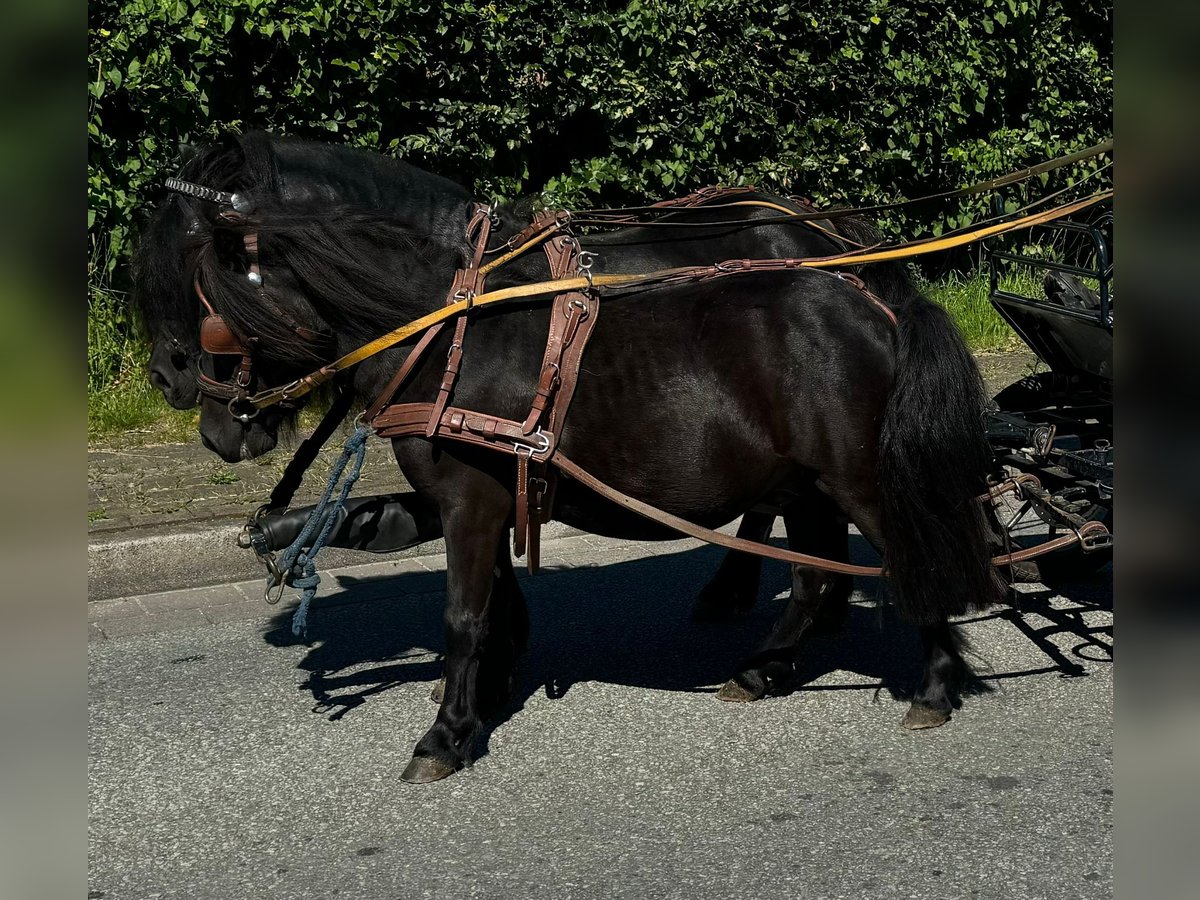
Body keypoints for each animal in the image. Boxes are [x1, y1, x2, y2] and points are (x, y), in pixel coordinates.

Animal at [140, 132, 1008, 782]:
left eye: (203, 291)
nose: (196, 407)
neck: (447, 331)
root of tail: (879, 297)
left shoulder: (472, 496)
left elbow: (462, 613)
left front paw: (446, 734)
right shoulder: (479, 491)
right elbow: (481, 592)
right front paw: (484, 690)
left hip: (858, 477)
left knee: (910, 555)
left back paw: (933, 683)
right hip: (807, 480)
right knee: (817, 572)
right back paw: (764, 665)